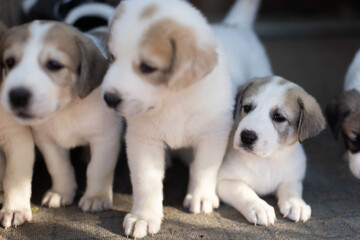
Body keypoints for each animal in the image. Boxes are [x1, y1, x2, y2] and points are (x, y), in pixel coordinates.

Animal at [0, 20, 122, 212]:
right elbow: (58, 167)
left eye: (54, 65)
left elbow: (98, 169)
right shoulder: (46, 140)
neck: (65, 110)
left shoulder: (106, 137)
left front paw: (95, 197)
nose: (17, 96)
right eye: (10, 62)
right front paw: (61, 192)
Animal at [217, 76, 326, 225]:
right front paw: (259, 207)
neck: (267, 160)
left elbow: (291, 189)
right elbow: (243, 191)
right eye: (247, 108)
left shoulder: (292, 177)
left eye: (279, 117)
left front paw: (296, 204)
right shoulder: (223, 180)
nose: (247, 136)